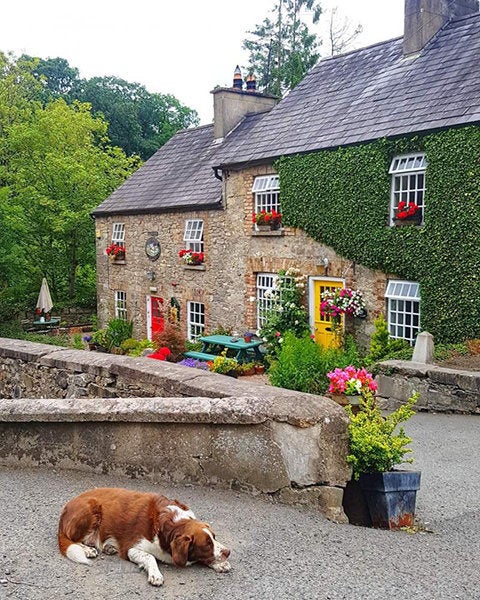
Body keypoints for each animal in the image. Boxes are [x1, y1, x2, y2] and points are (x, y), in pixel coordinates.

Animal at [58, 488, 231, 584]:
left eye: (214, 537)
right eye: (207, 544)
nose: (228, 552)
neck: (173, 525)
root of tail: (65, 508)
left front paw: (220, 564)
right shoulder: (131, 548)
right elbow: (150, 557)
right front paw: (156, 574)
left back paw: (108, 547)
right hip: (92, 508)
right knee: (72, 538)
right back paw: (88, 549)